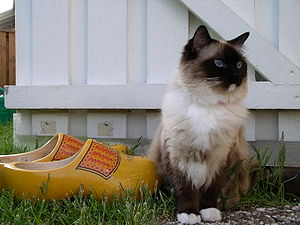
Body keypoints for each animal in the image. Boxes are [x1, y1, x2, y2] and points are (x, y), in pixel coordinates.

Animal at [148, 25, 253, 224]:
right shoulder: (178, 156)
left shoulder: (220, 157)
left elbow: (210, 190)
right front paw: (189, 214)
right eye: (219, 63)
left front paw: (209, 212)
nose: (237, 76)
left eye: (239, 65)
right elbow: (187, 189)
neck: (209, 105)